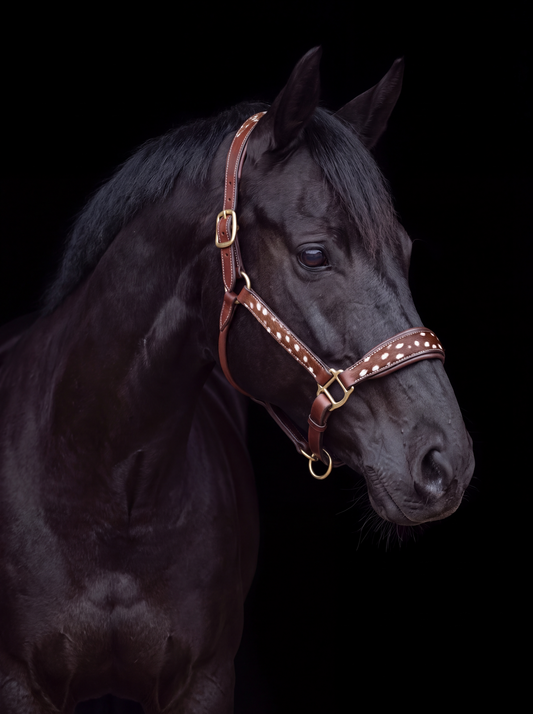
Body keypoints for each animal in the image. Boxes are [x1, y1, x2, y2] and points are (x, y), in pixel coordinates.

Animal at [0, 47, 474, 713]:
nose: (445, 463)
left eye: (404, 251)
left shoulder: (205, 681)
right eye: (313, 255)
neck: (108, 487)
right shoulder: (19, 680)